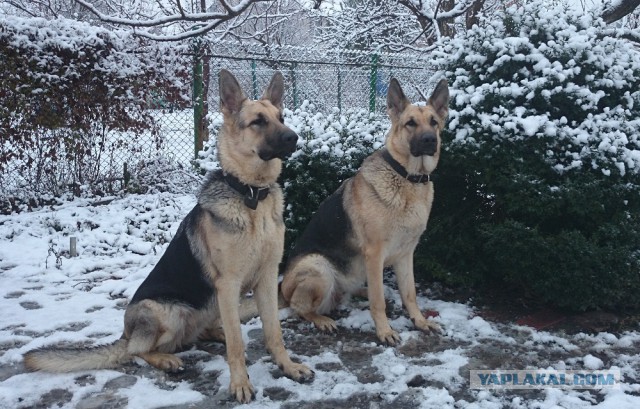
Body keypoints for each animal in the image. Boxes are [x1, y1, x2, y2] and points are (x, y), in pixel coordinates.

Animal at [25, 69, 316, 402]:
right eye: (258, 121)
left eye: (281, 117)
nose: (294, 137)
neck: (251, 195)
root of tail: (125, 332)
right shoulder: (229, 284)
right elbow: (237, 345)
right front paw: (240, 383)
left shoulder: (267, 279)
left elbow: (274, 333)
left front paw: (288, 366)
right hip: (168, 310)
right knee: (137, 350)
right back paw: (166, 359)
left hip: (210, 304)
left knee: (205, 331)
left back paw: (212, 333)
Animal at [280, 77, 450, 344]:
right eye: (410, 123)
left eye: (434, 122)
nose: (429, 140)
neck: (407, 178)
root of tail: (282, 288)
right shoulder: (375, 254)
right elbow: (377, 301)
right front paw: (385, 331)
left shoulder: (406, 255)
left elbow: (410, 293)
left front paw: (420, 321)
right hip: (319, 267)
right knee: (300, 308)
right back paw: (322, 319)